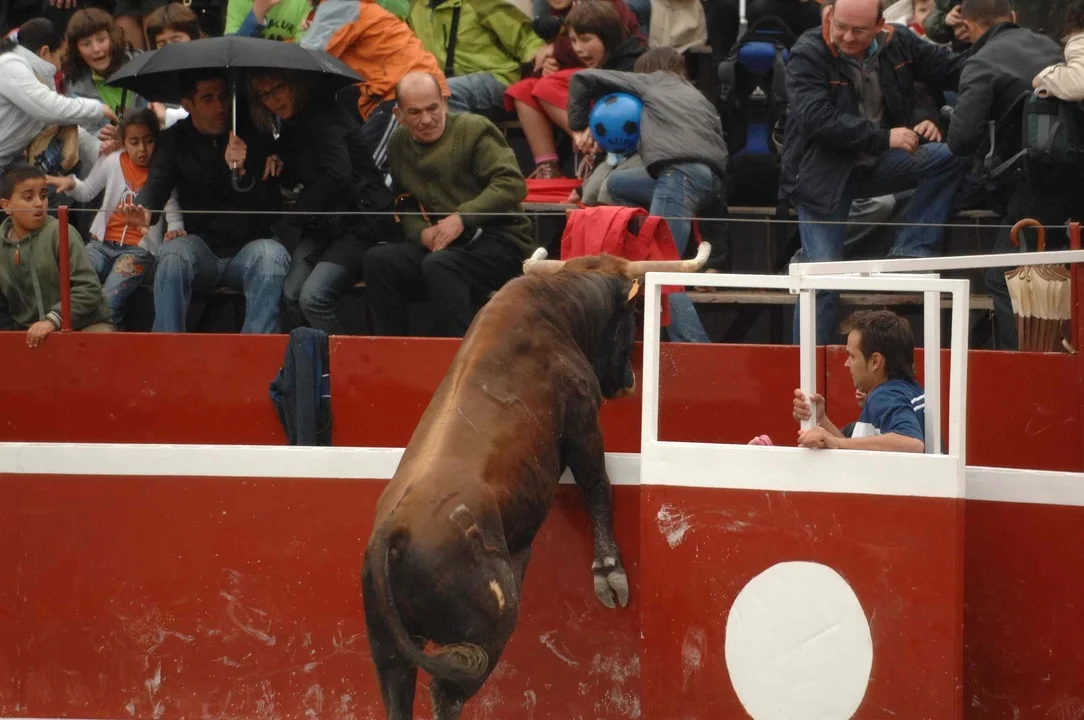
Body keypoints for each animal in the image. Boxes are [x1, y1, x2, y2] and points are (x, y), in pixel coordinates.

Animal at [361, 242, 712, 719]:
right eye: (635, 314)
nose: (628, 383)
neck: (558, 308)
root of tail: (393, 533)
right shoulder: (583, 422)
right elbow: (597, 486)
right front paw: (610, 572)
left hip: (387, 649)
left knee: (398, 693)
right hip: (487, 630)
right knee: (446, 694)